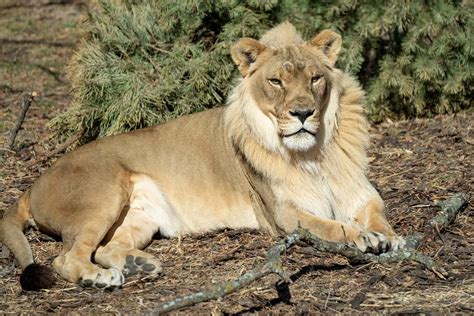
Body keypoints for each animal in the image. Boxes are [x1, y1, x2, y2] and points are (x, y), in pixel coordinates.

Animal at [0, 22, 404, 290]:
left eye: (315, 78)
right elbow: (332, 226)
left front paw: (392, 237)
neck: (313, 153)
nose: (303, 113)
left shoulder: (360, 193)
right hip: (104, 193)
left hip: (139, 217)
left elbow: (378, 214)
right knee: (67, 257)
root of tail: (33, 185)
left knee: (105, 247)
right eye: (276, 81)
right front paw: (365, 238)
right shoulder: (283, 215)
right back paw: (100, 278)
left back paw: (138, 265)